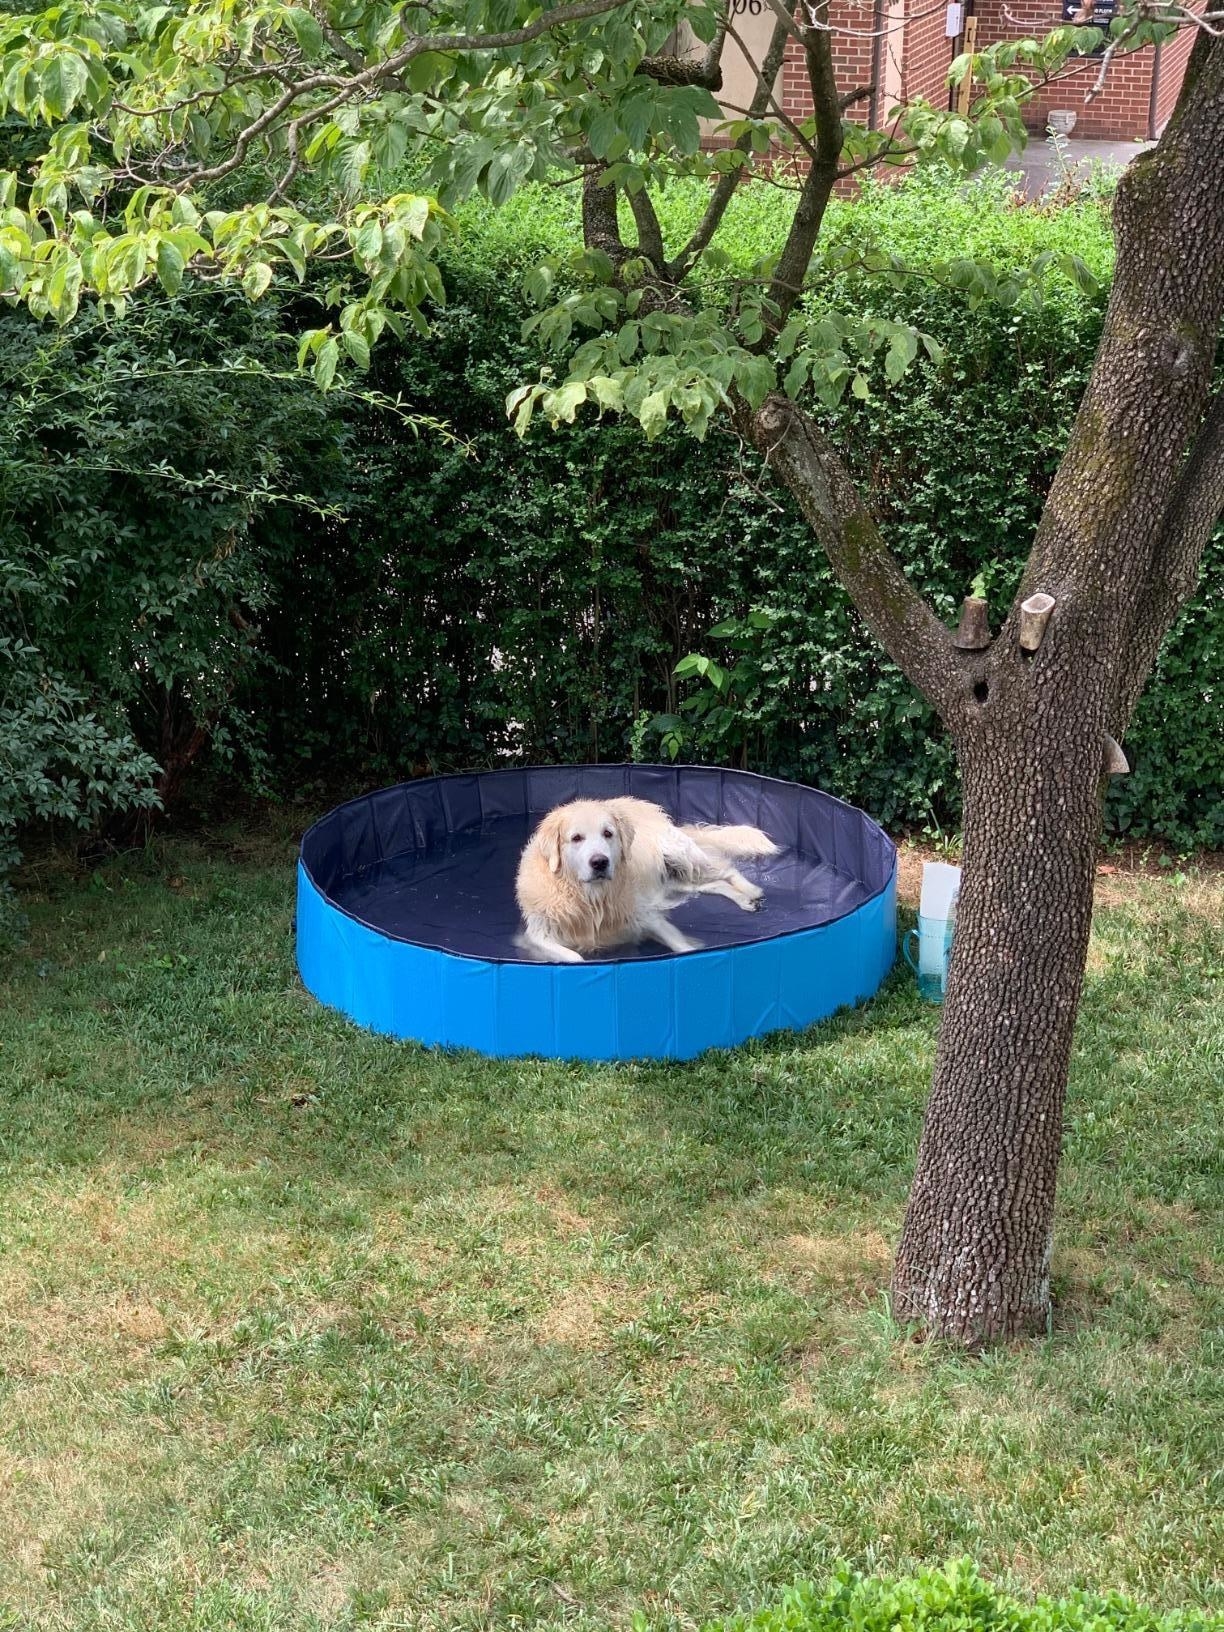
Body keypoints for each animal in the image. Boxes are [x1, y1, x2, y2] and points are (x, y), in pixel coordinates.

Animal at [518, 796, 776, 959]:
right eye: (576, 838)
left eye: (608, 833)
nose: (600, 862)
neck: (593, 899)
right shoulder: (539, 934)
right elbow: (573, 957)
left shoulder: (647, 917)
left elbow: (680, 945)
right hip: (675, 882)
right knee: (716, 884)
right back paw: (745, 900)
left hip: (679, 855)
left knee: (726, 870)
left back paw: (752, 891)